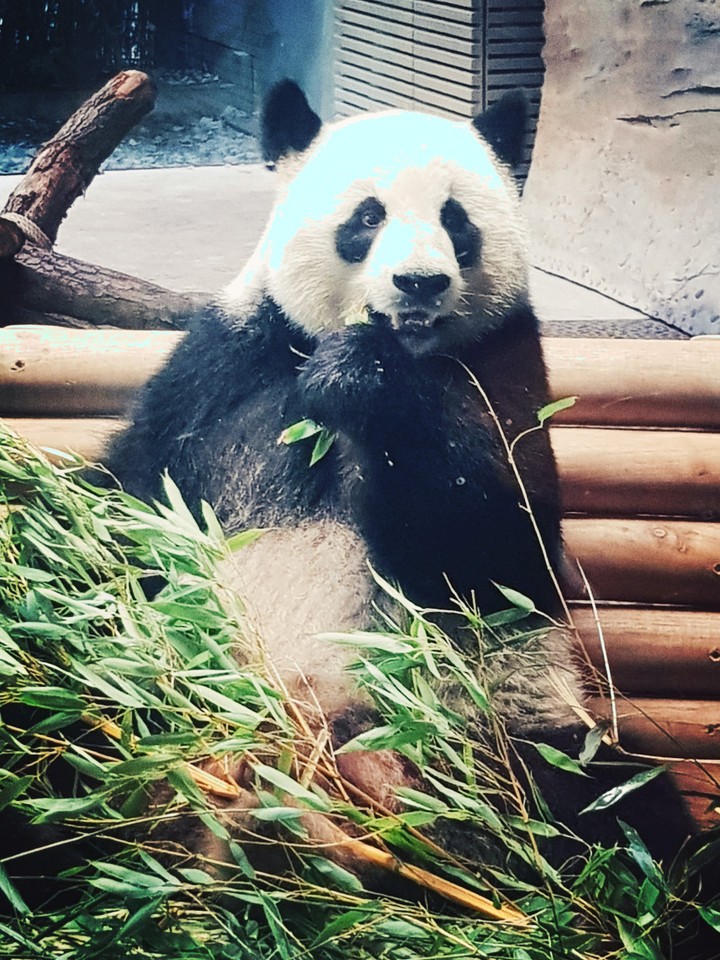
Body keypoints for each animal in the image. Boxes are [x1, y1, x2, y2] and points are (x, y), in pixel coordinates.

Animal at [101, 81, 696, 896]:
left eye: (456, 219)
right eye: (367, 217)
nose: (420, 283)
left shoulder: (503, 374)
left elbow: (494, 552)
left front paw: (362, 381)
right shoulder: (226, 365)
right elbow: (131, 494)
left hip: (515, 724)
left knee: (627, 813)